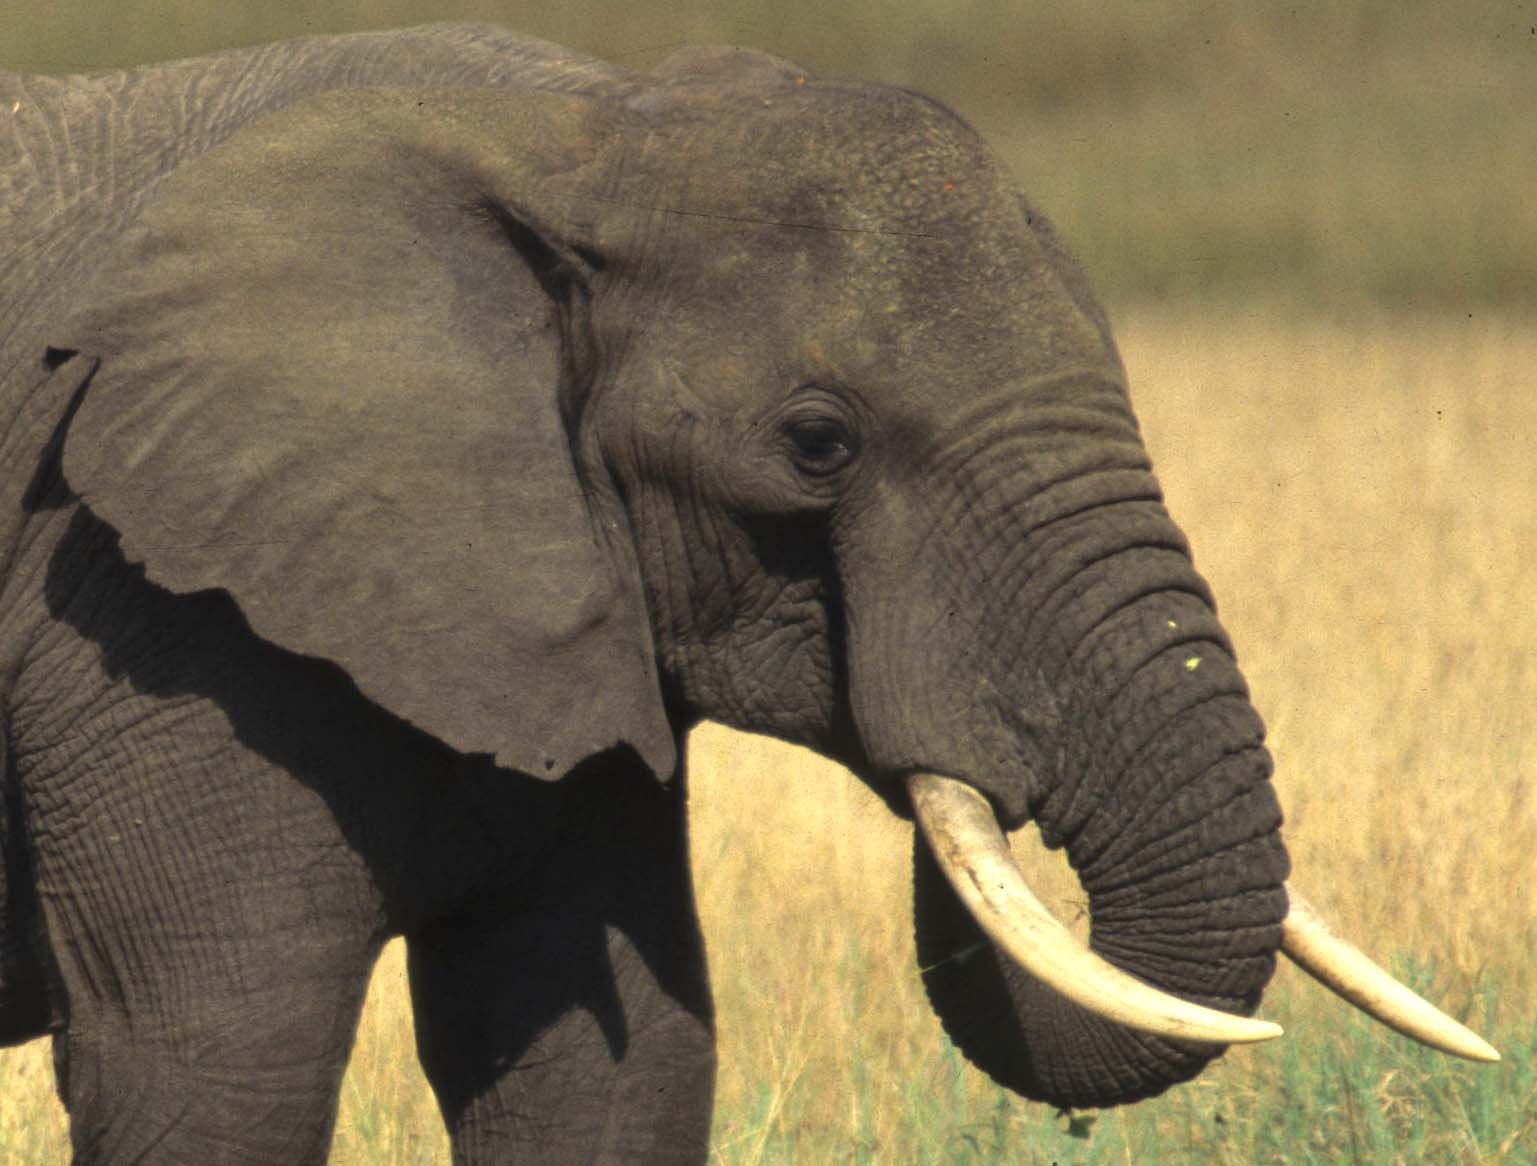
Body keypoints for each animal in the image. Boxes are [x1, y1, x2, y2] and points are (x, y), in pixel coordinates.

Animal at [0, 23, 1496, 1165]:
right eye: (817, 444)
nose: (973, 738)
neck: (583, 125)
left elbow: (616, 1059)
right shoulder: (142, 608)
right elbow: (213, 1061)